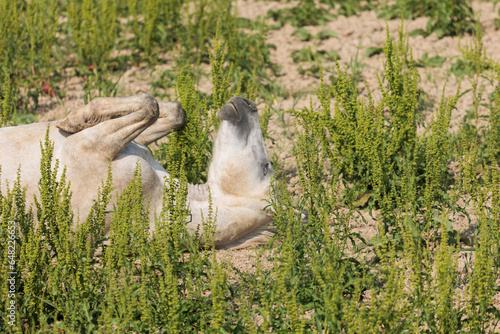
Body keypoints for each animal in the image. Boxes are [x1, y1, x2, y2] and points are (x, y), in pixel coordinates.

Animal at [0, 94, 274, 248]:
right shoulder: (136, 143)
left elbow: (149, 106)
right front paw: (76, 119)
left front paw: (75, 119)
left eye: (266, 168)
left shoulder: (86, 147)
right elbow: (174, 111)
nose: (248, 104)